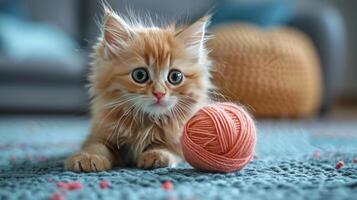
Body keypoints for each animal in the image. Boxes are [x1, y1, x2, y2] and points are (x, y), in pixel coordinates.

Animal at [65, 6, 213, 172]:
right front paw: (88, 158)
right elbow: (96, 146)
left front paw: (156, 155)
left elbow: (164, 147)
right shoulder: (99, 134)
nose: (159, 93)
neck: (144, 121)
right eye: (140, 75)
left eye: (175, 77)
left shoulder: (177, 142)